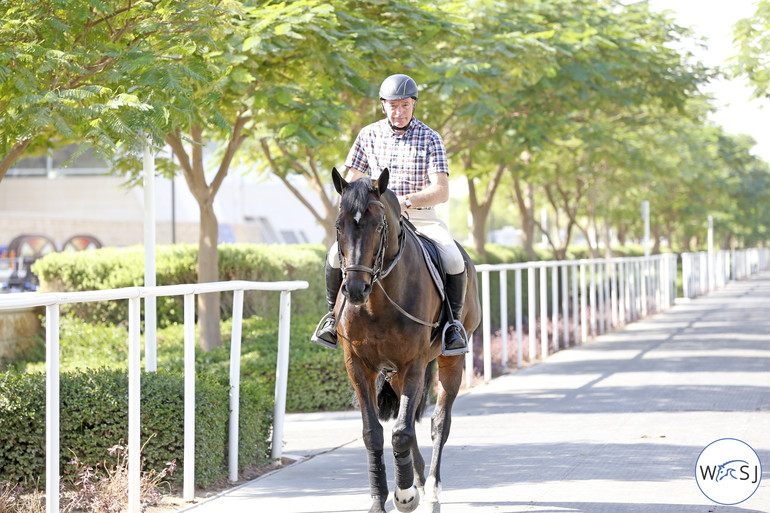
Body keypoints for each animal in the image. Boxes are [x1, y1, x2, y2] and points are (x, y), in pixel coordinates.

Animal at [332, 166, 480, 510]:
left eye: (378, 225)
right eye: (339, 225)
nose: (355, 289)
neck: (377, 301)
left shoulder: (413, 362)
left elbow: (401, 431)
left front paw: (404, 495)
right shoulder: (357, 364)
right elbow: (373, 432)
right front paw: (379, 499)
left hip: (449, 362)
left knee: (439, 422)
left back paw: (432, 488)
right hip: (397, 373)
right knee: (410, 418)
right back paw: (420, 480)